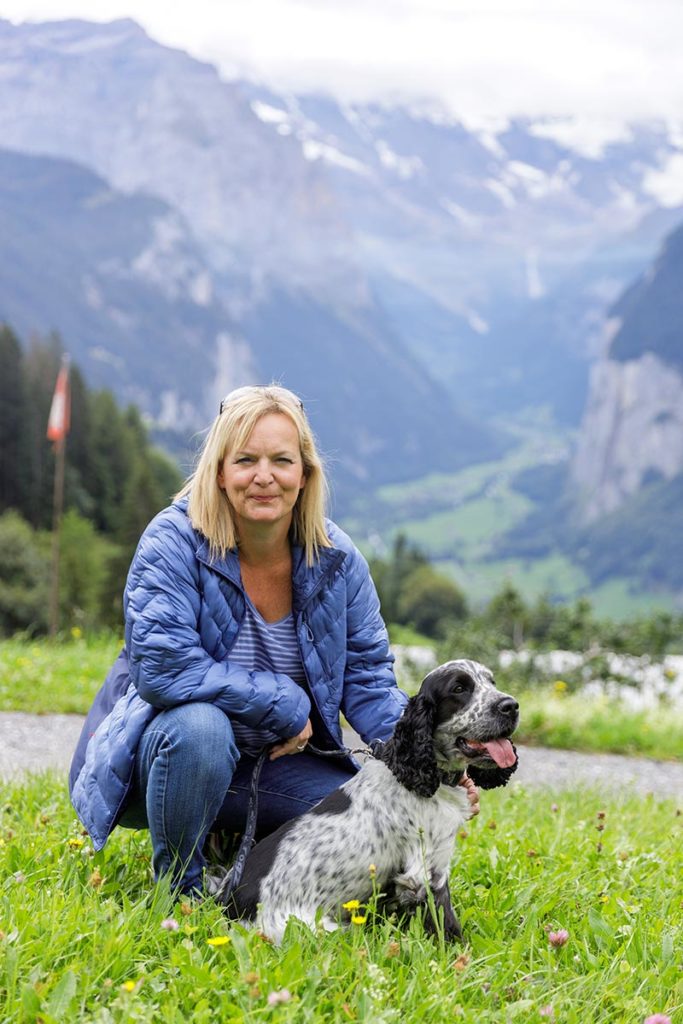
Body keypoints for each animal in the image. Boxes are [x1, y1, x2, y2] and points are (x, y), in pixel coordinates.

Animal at [219, 663, 518, 942]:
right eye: (458, 689)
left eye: (491, 682)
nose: (511, 706)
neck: (423, 774)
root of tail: (229, 909)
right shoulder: (426, 870)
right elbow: (446, 922)